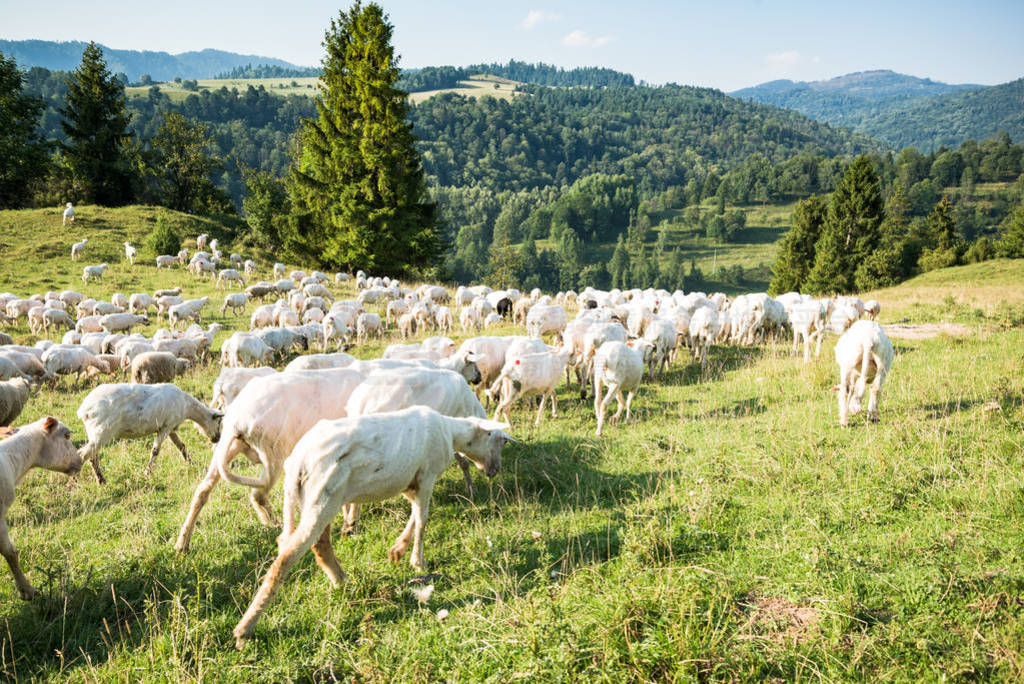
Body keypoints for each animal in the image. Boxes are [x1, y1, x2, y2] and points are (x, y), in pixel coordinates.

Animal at [76, 382, 225, 483]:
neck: (187, 406)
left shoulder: (170, 427)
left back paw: (101, 480)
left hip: (95, 433)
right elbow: (155, 451)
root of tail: (84, 409)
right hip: (101, 432)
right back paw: (97, 480)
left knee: (92, 456)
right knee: (84, 454)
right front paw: (147, 473)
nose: (217, 439)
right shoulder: (165, 427)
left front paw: (190, 461)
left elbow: (181, 446)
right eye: (219, 423)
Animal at [174, 366, 370, 552]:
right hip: (273, 454)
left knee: (203, 490)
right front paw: (351, 524)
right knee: (258, 494)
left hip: (229, 448)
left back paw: (182, 544)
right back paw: (275, 523)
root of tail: (237, 420)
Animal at [232, 405, 512, 647]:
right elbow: (422, 518)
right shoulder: (427, 476)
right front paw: (418, 561)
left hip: (317, 499)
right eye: (500, 440)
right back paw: (245, 629)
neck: (451, 431)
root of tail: (297, 463)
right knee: (288, 556)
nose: (494, 471)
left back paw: (341, 581)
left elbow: (414, 515)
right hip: (323, 496)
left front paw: (398, 550)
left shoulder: (410, 482)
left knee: (312, 544)